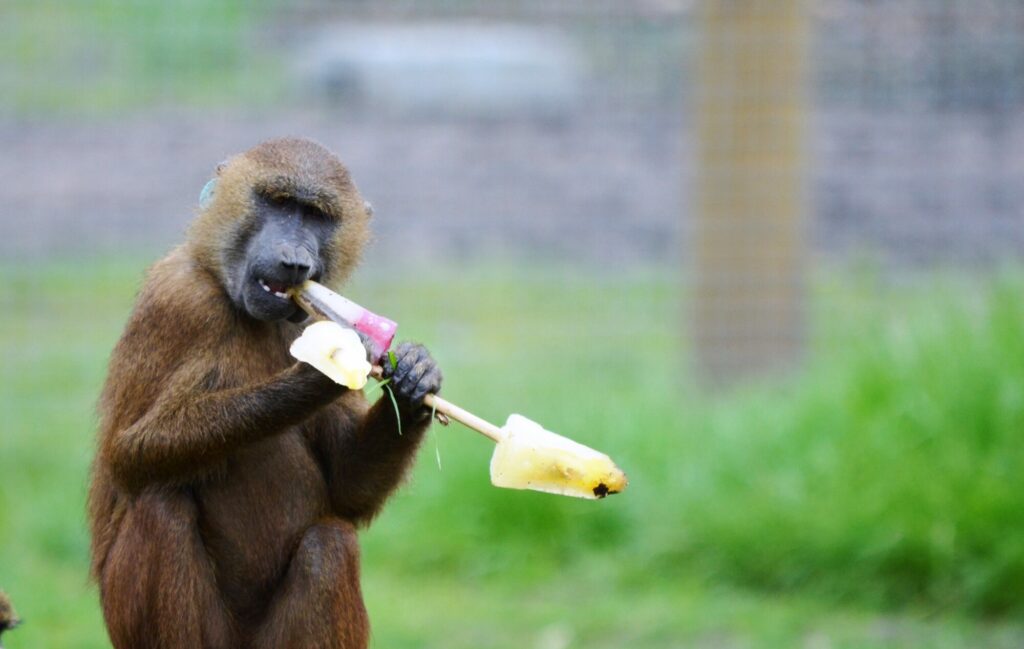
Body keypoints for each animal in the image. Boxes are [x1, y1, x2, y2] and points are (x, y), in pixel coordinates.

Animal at [87, 138, 442, 649]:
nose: (294, 260)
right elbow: (128, 455)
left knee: (328, 546)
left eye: (316, 215)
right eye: (279, 203)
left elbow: (347, 489)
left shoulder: (307, 316)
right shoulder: (177, 301)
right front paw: (320, 373)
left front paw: (415, 375)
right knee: (161, 506)